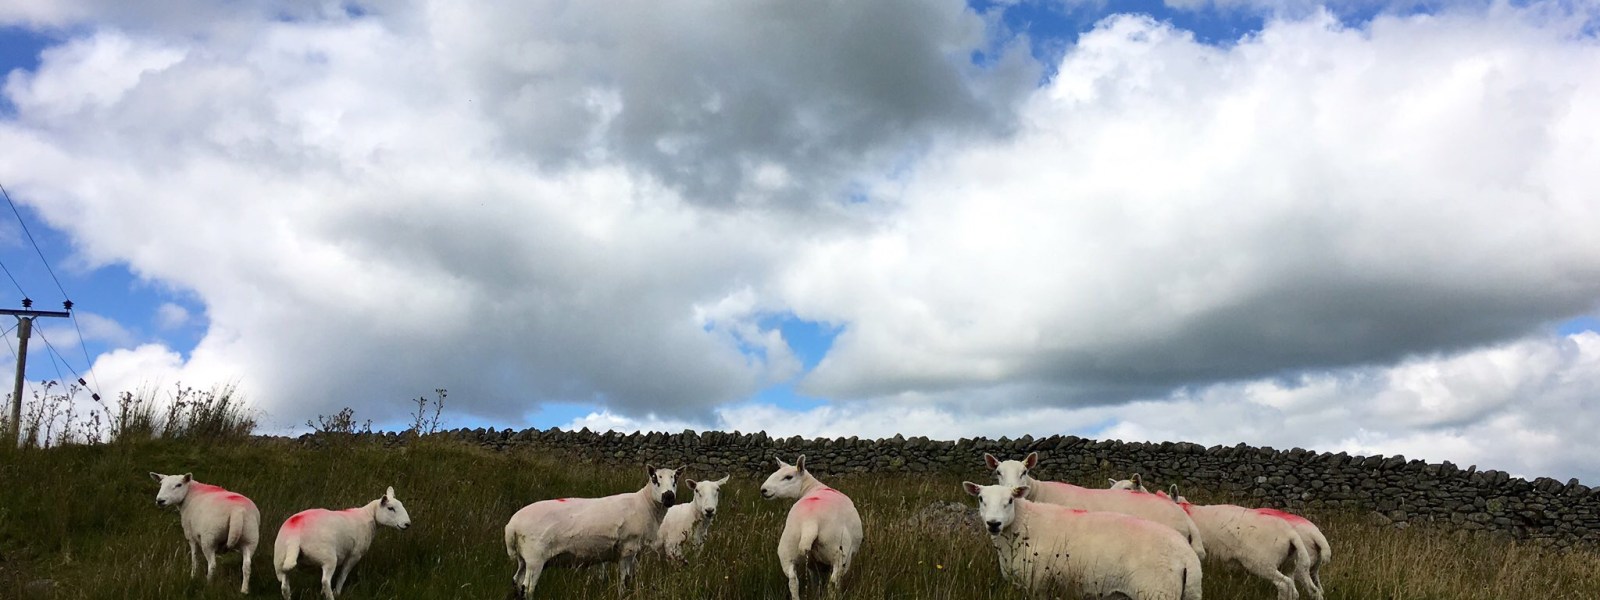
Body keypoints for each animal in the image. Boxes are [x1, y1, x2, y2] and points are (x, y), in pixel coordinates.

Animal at [273, 486, 411, 600]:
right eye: (390, 508)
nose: (407, 524)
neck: (369, 516)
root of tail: (295, 535)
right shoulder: (355, 554)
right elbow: (343, 575)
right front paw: (338, 592)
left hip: (280, 560)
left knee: (284, 586)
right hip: (327, 556)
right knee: (325, 581)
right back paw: (331, 596)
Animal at [504, 465, 680, 598]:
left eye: (675, 480)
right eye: (655, 479)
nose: (669, 497)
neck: (644, 504)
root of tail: (512, 526)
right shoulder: (628, 548)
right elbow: (624, 580)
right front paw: (622, 594)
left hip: (524, 558)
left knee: (516, 581)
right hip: (535, 557)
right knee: (527, 587)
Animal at [761, 455, 863, 600]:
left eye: (788, 477)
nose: (763, 490)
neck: (813, 487)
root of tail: (810, 521)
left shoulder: (813, 563)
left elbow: (815, 580)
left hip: (788, 547)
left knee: (793, 580)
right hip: (839, 552)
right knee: (833, 581)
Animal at [963, 482, 1202, 599]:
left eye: (1010, 500)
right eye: (981, 499)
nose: (993, 523)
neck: (1023, 525)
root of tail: (1186, 557)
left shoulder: (1037, 584)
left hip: (1156, 592)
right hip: (1190, 593)